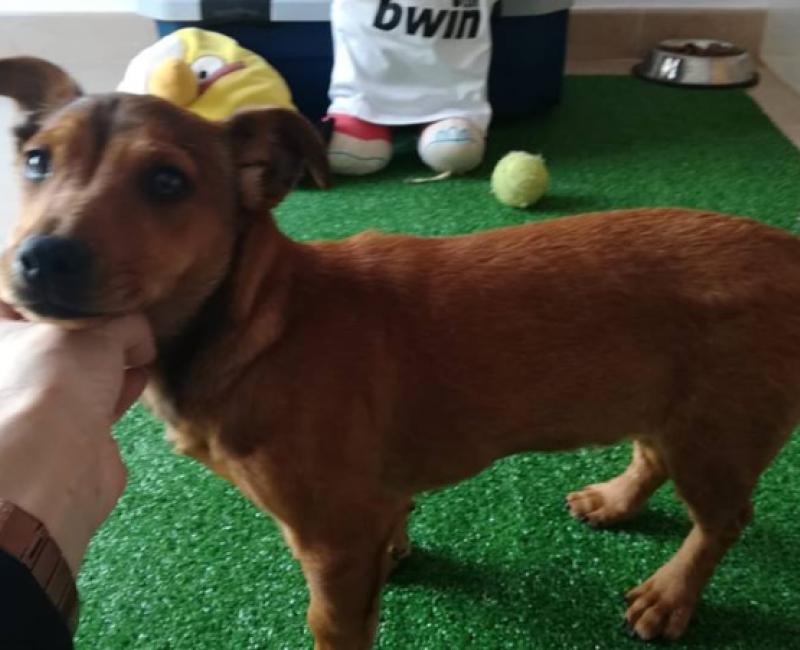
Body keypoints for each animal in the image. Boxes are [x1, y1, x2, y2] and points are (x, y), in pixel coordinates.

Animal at [1, 56, 799, 649]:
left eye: (168, 182)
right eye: (35, 162)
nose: (39, 260)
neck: (263, 320)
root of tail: (787, 250)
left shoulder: (330, 541)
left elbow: (332, 625)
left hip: (719, 428)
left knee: (723, 519)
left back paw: (671, 595)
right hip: (673, 406)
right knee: (654, 454)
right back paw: (615, 500)